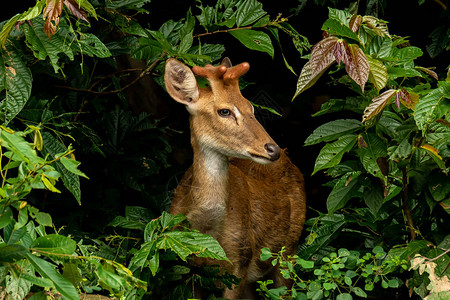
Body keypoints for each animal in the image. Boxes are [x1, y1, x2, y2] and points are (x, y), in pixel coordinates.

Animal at [163, 57, 308, 298]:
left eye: (251, 108)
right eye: (224, 111)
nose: (273, 149)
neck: (207, 230)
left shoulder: (241, 259)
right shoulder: (182, 263)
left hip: (289, 250)